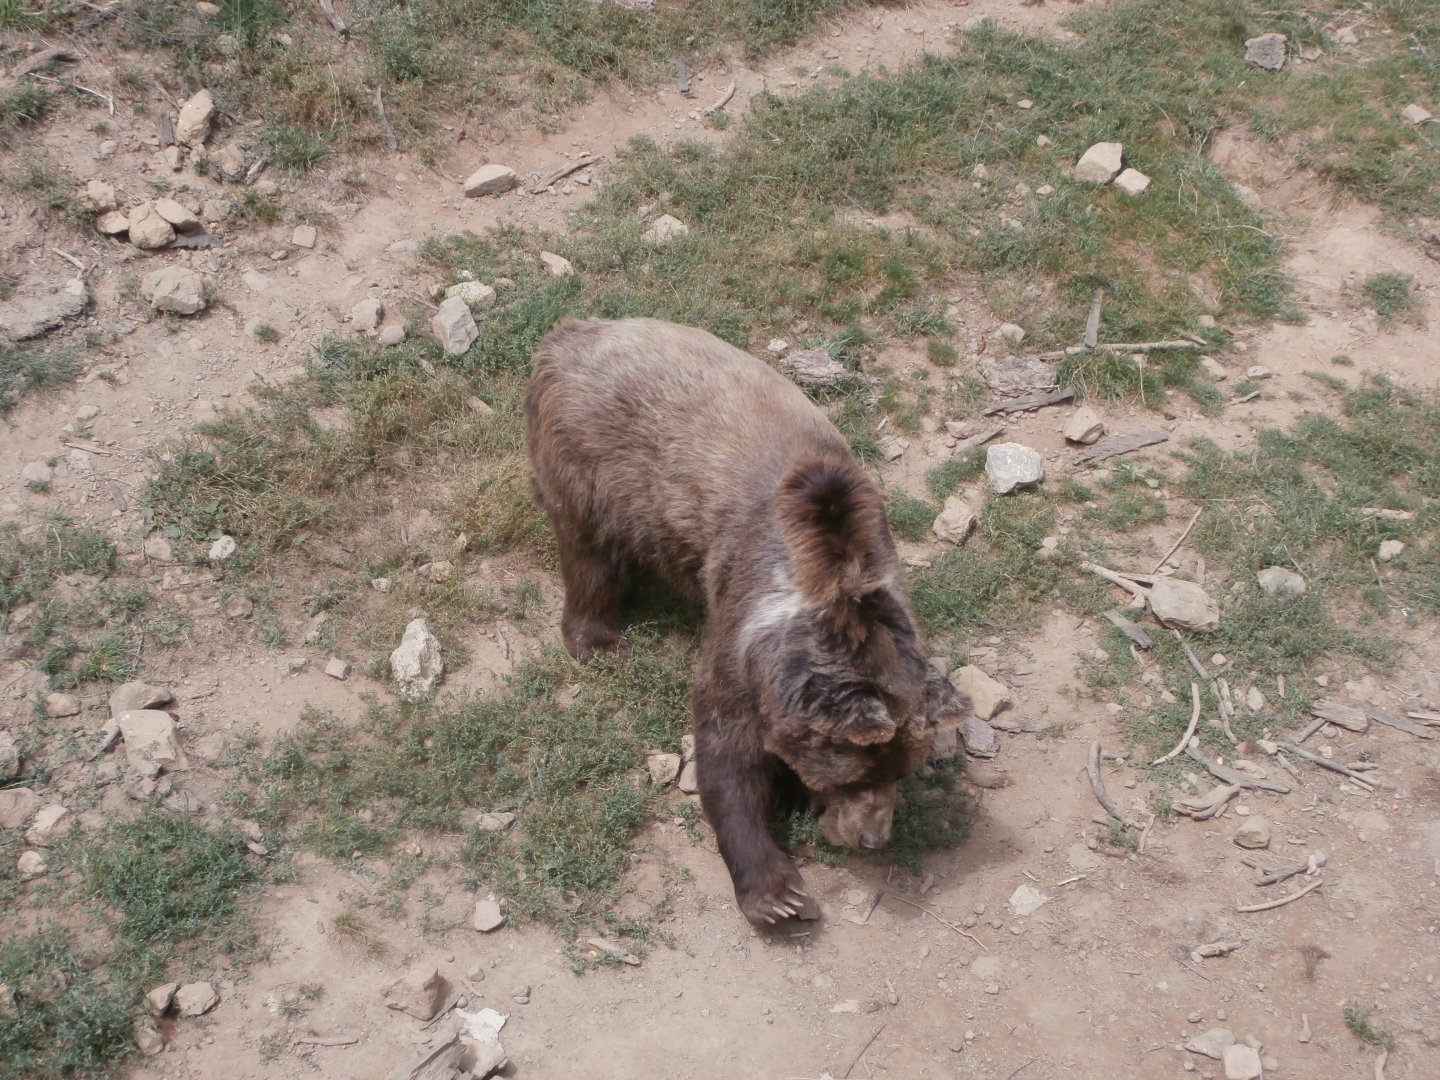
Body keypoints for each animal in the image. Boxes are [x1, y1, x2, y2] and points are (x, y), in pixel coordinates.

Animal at [525, 318, 969, 926]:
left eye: (901, 772)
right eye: (859, 776)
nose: (873, 839)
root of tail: (569, 333)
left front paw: (796, 795)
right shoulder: (740, 639)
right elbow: (728, 754)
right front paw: (779, 895)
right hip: (594, 458)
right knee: (590, 552)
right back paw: (601, 642)